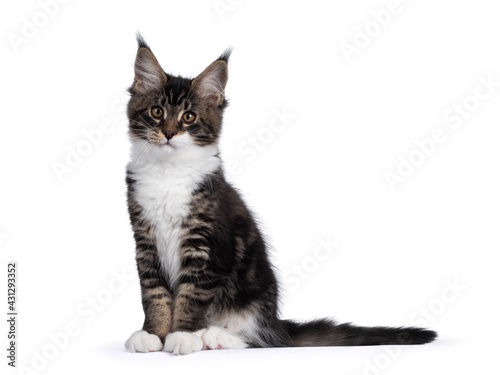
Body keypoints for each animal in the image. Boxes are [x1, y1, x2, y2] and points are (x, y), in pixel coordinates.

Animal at [123, 35, 436, 356]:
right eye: (157, 112)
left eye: (188, 117)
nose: (169, 133)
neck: (168, 172)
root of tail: (276, 321)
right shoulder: (145, 243)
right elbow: (154, 295)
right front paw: (153, 334)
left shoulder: (208, 247)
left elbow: (192, 296)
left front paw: (183, 334)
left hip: (254, 293)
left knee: (259, 338)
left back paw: (215, 336)